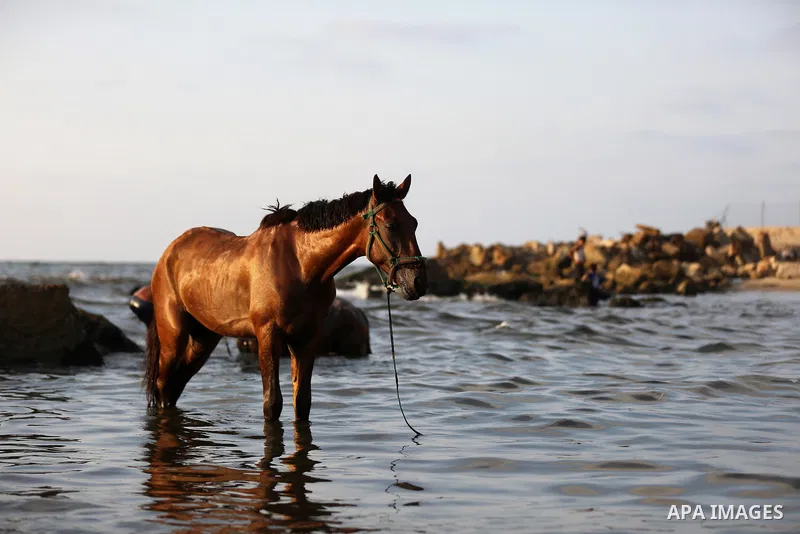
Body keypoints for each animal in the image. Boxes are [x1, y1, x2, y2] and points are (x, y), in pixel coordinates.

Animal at [144, 174, 427, 422]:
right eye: (390, 224)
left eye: (414, 222)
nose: (418, 282)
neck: (300, 264)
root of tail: (170, 252)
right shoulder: (268, 334)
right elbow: (272, 403)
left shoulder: (306, 338)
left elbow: (302, 402)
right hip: (174, 334)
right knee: (163, 384)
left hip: (204, 338)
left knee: (176, 385)